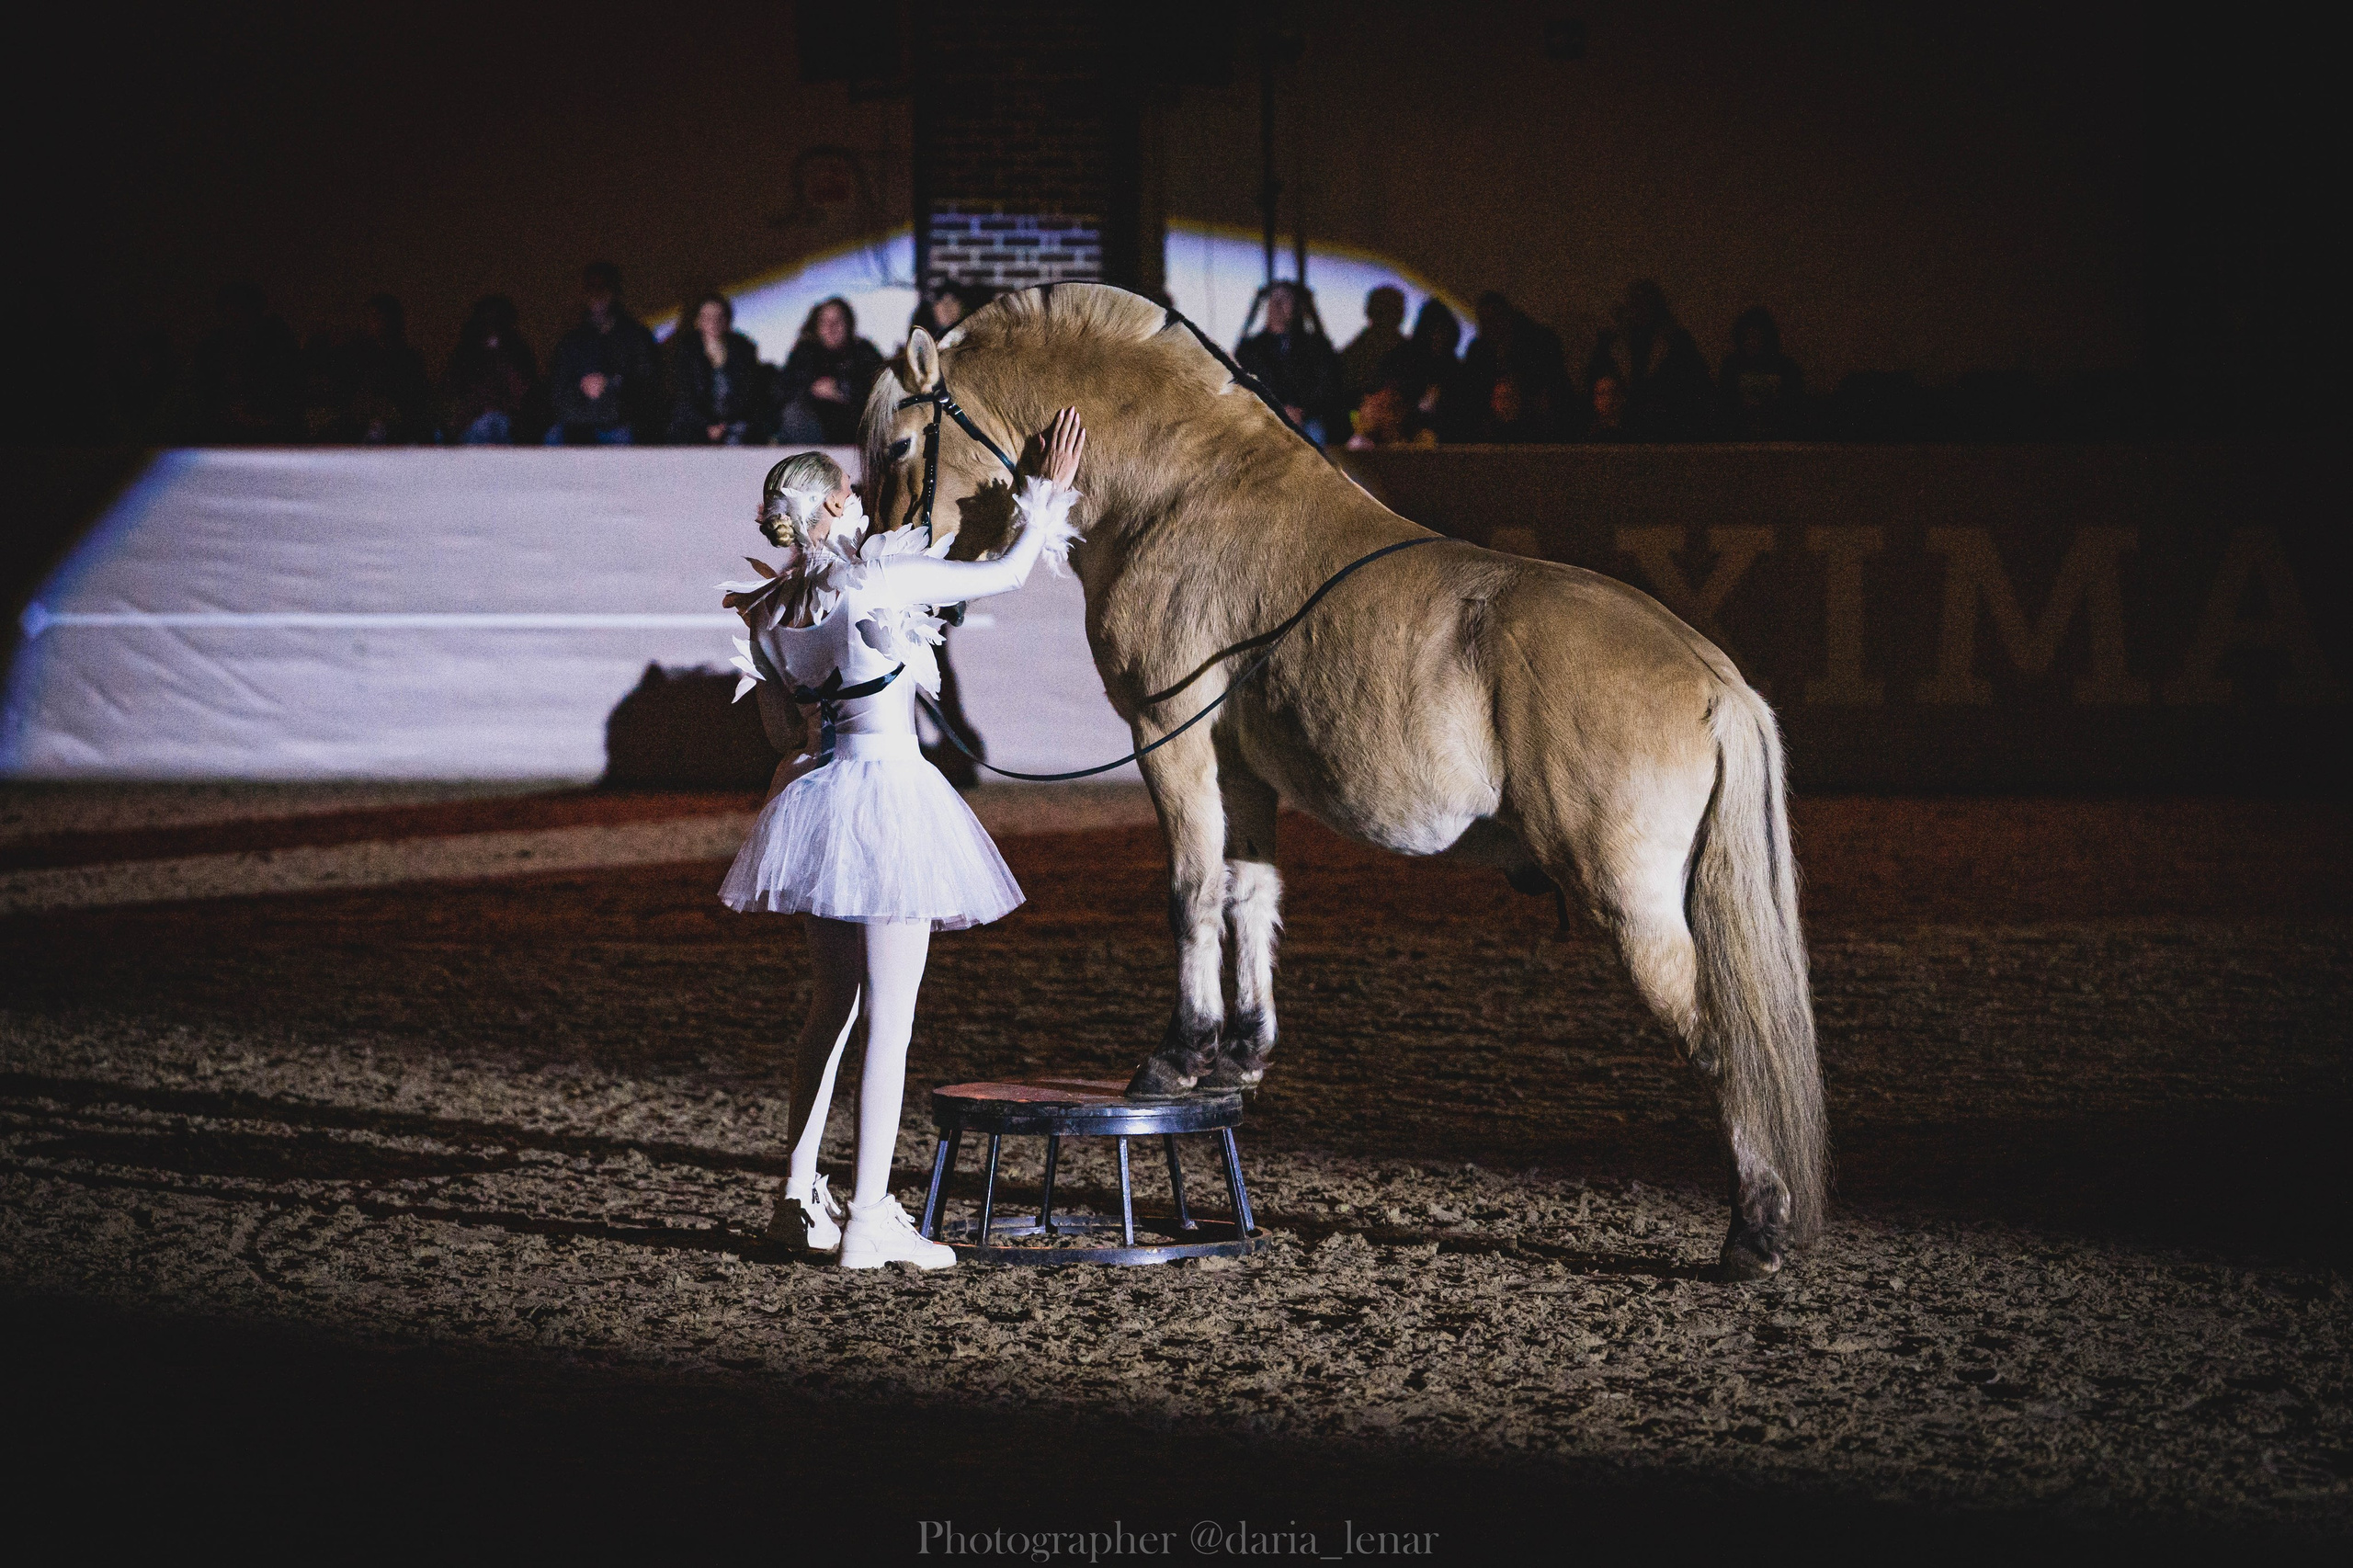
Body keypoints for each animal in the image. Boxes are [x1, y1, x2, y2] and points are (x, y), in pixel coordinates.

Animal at [861, 284, 1826, 1278]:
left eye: (898, 447)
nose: (882, 559)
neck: (1182, 493)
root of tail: (1712, 679)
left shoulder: (1168, 735)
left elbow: (1191, 889)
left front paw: (1177, 1055)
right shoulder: (1238, 763)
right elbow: (1250, 891)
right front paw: (1240, 1052)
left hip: (1632, 907)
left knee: (1723, 1047)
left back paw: (1754, 1231)